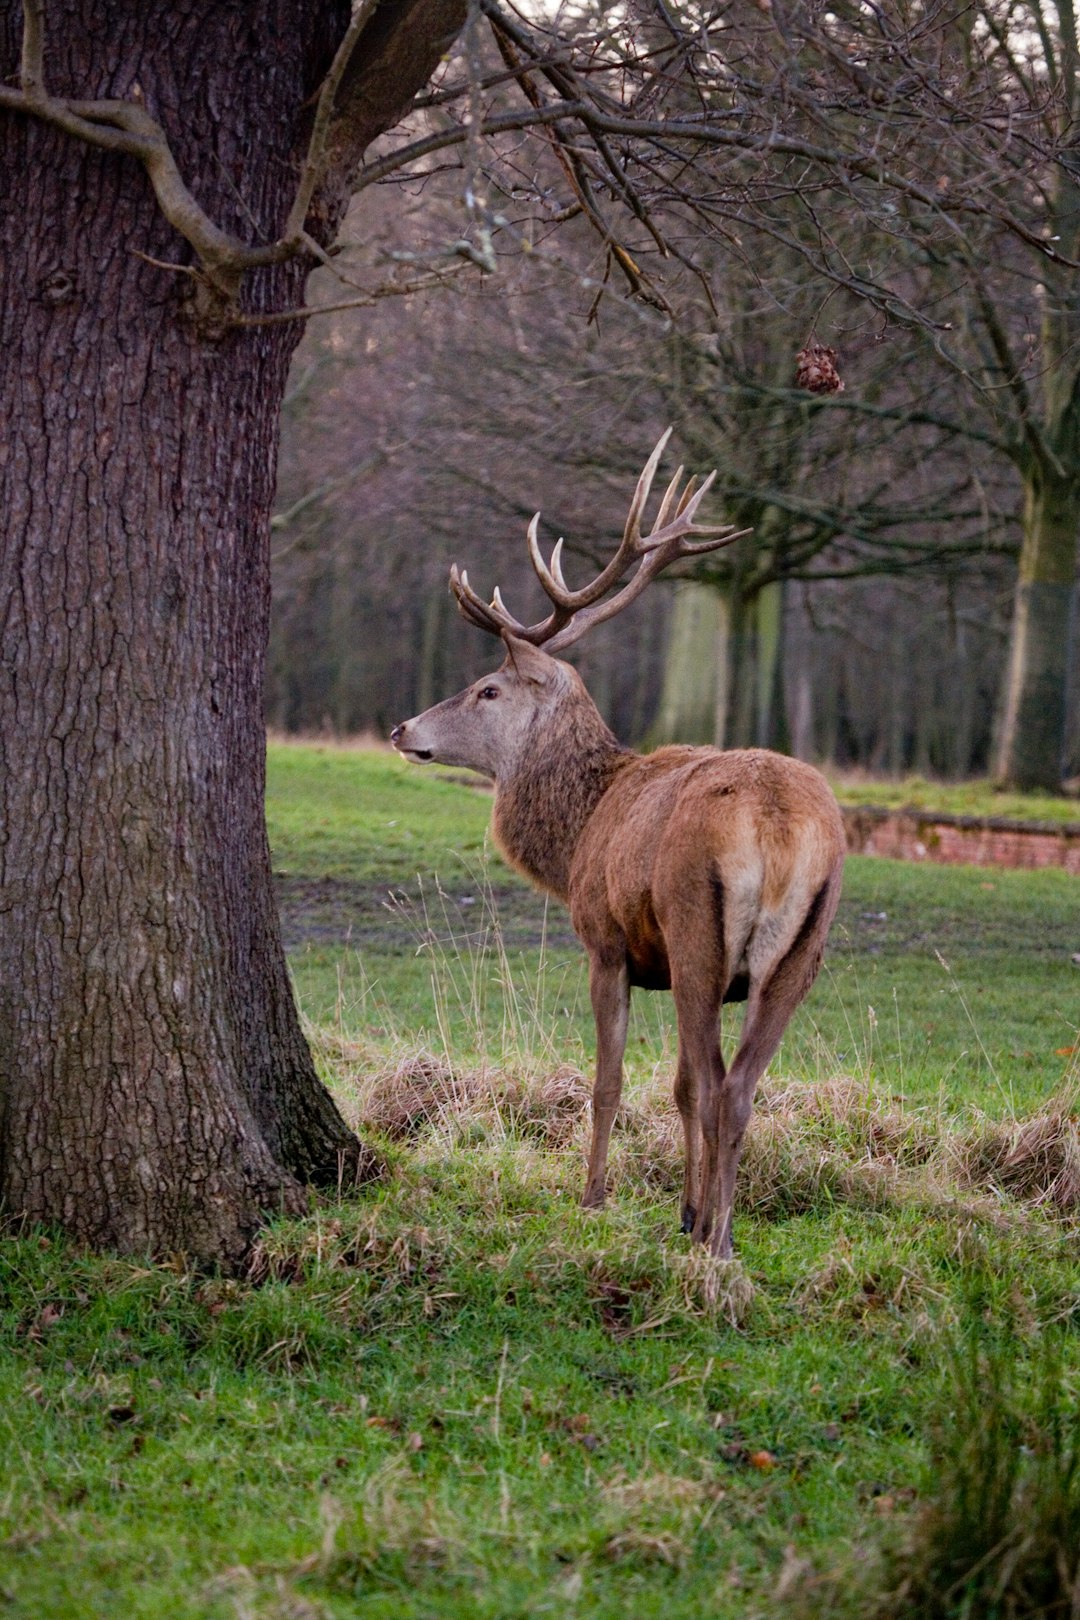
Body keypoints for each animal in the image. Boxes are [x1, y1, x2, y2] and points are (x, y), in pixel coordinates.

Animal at [393, 434, 848, 1263]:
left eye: (487, 689)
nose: (401, 727)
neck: (579, 830)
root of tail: (777, 827)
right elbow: (676, 1087)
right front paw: (683, 1209)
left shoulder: (607, 943)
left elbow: (610, 1082)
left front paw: (595, 1198)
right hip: (804, 949)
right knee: (739, 1087)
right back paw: (719, 1234)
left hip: (699, 932)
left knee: (721, 1084)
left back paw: (714, 1242)